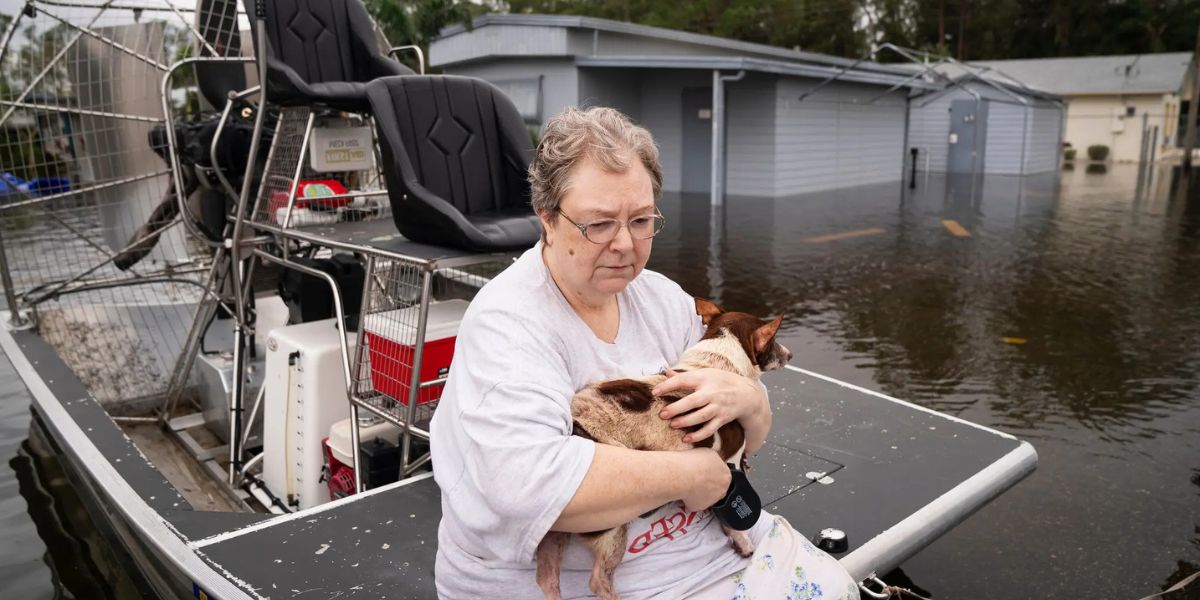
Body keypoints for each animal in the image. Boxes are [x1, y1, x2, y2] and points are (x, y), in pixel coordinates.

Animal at [537, 300, 796, 600]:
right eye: (774, 340)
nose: (790, 353)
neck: (716, 363)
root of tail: (578, 425)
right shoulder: (729, 465)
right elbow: (729, 518)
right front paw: (741, 539)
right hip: (610, 528)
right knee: (598, 579)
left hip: (554, 534)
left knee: (546, 577)